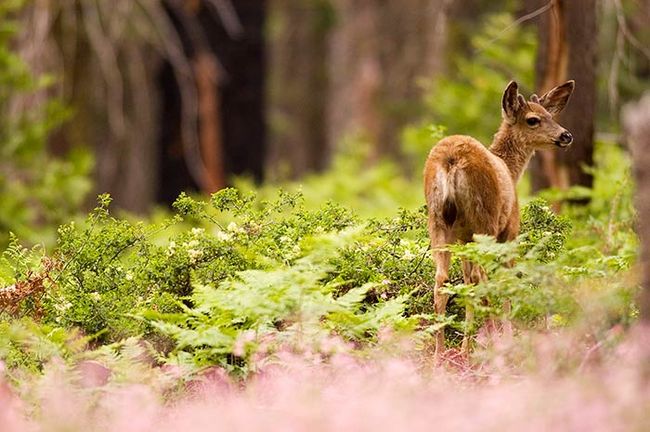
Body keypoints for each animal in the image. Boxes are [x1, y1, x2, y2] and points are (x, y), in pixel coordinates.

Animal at [426, 79, 572, 356]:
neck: (511, 170)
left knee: (443, 280)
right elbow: (505, 280)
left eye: (551, 115)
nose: (566, 135)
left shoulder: (463, 238)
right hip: (485, 219)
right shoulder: (510, 231)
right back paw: (490, 339)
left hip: (438, 222)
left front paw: (467, 345)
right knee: (481, 277)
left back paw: (441, 353)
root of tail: (451, 160)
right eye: (533, 119)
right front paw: (507, 336)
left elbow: (466, 280)